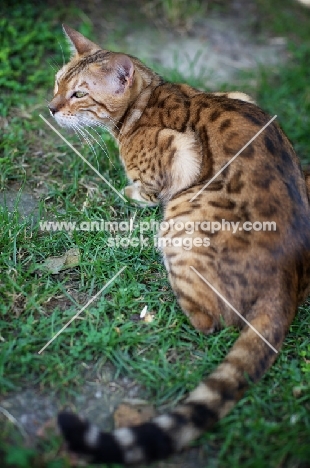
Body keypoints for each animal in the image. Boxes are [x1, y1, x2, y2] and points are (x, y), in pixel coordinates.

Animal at [47, 25, 310, 464]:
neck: (145, 103)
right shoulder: (240, 96)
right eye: (56, 84)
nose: (50, 109)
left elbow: (143, 190)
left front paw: (123, 190)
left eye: (79, 93)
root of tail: (289, 276)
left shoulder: (176, 150)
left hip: (180, 220)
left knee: (211, 321)